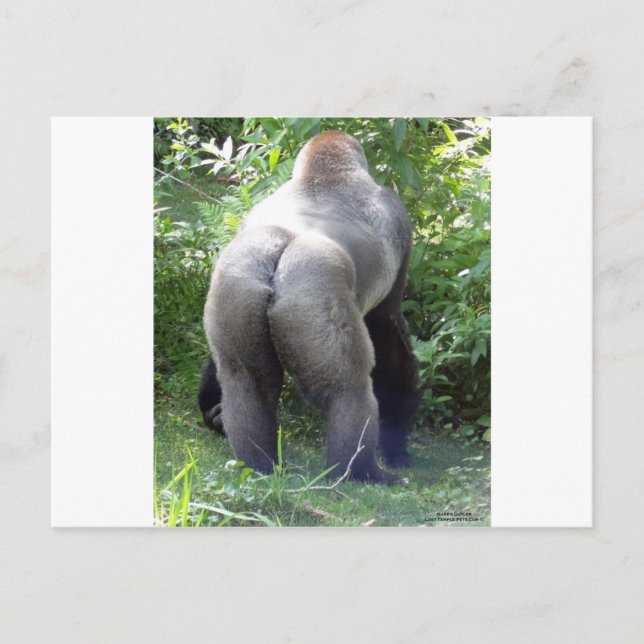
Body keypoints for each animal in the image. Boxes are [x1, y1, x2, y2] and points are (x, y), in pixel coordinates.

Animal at [199, 131, 418, 484]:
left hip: (238, 282)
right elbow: (388, 330)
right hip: (311, 293)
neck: (321, 176)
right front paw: (397, 445)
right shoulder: (399, 218)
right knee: (348, 389)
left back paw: (259, 466)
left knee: (246, 381)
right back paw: (360, 471)